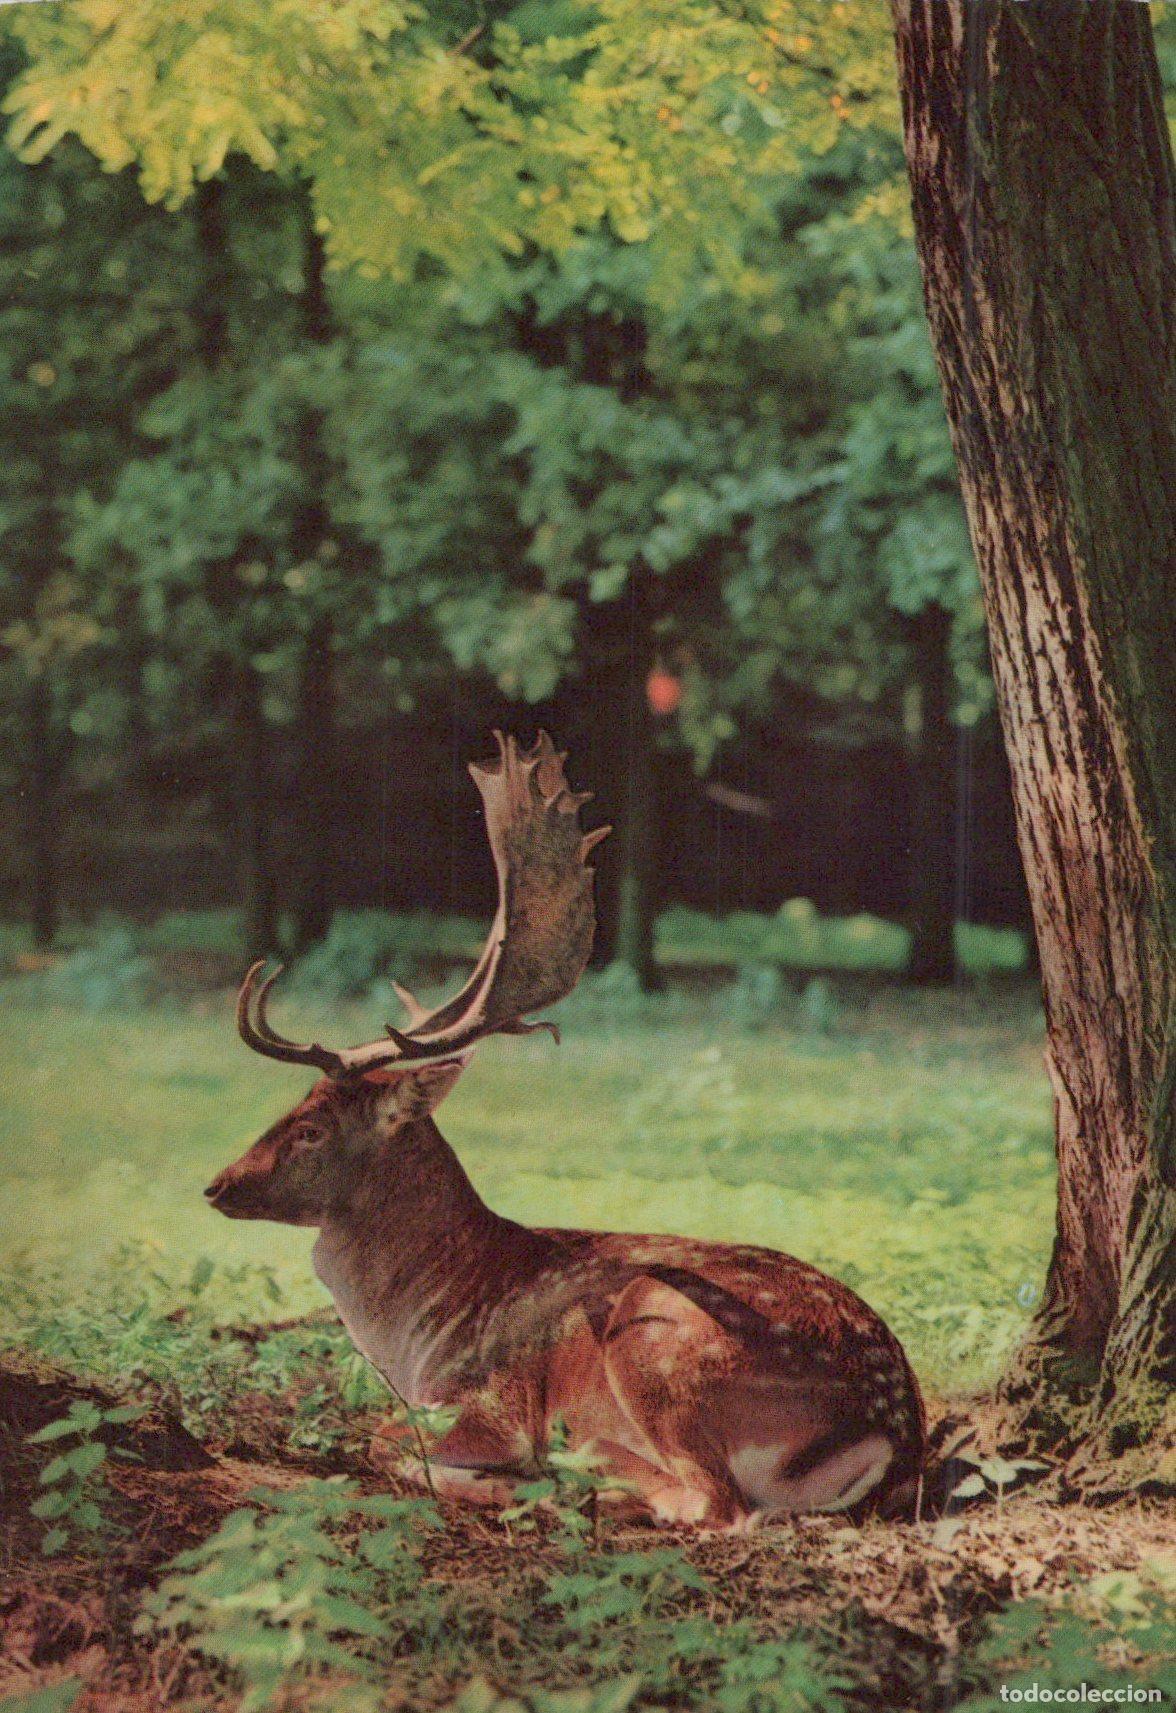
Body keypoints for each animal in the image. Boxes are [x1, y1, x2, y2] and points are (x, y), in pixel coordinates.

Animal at [205, 732, 925, 1529]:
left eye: (312, 1127)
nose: (218, 1185)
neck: (418, 1337)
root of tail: (892, 1434)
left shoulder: (491, 1400)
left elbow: (386, 1438)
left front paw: (503, 1474)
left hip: (658, 1332)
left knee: (711, 1502)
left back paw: (569, 1479)